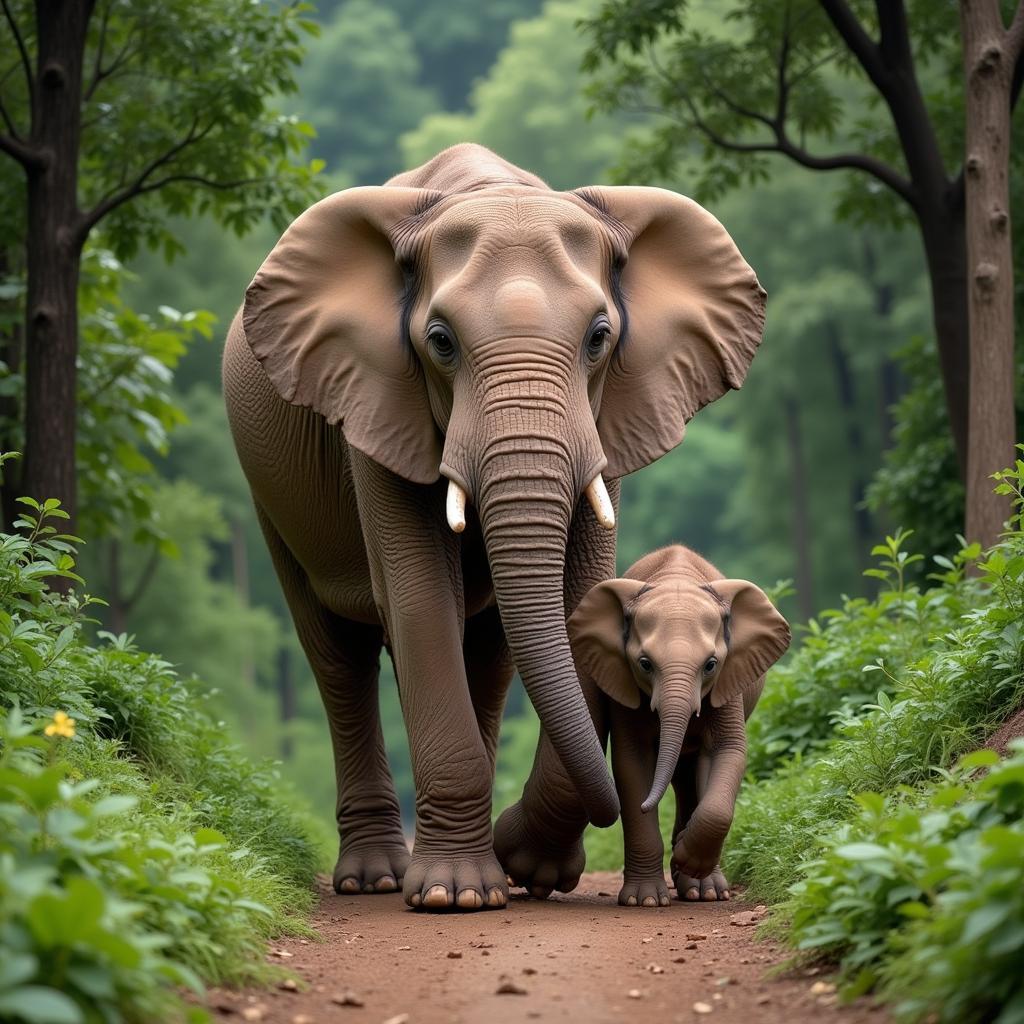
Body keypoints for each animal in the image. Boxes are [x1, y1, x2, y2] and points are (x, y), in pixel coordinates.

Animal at [569, 544, 790, 905]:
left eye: (711, 664)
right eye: (645, 664)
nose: (647, 805)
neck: (677, 579)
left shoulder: (729, 682)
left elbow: (726, 752)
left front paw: (691, 864)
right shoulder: (624, 689)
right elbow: (633, 762)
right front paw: (644, 900)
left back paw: (703, 890)